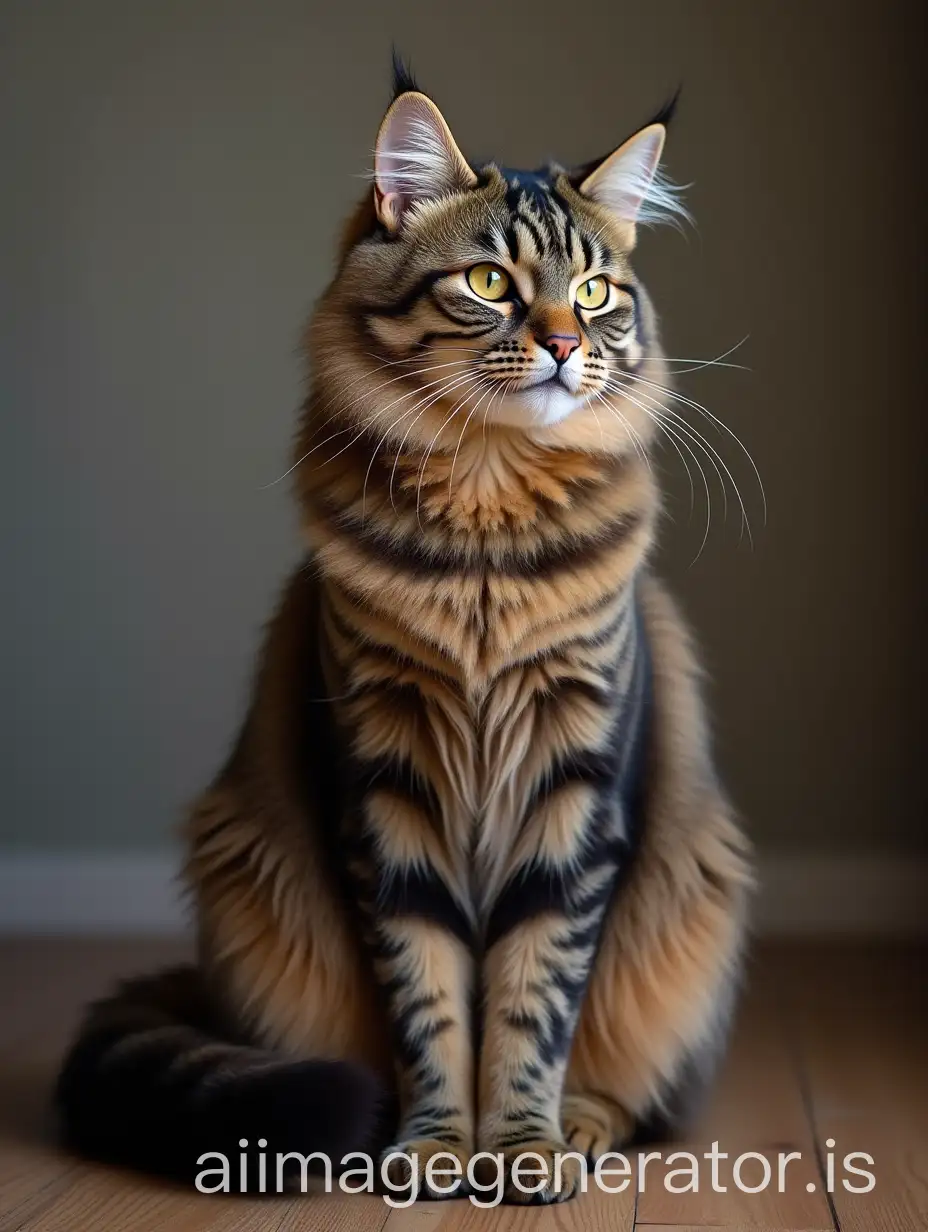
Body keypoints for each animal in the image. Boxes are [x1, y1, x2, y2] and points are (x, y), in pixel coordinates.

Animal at [56, 60, 754, 1202]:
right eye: (490, 283)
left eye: (593, 292)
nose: (565, 343)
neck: (485, 539)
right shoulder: (387, 790)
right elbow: (428, 1000)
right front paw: (434, 1148)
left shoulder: (574, 791)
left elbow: (532, 998)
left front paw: (519, 1148)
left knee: (632, 1084)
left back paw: (582, 1127)